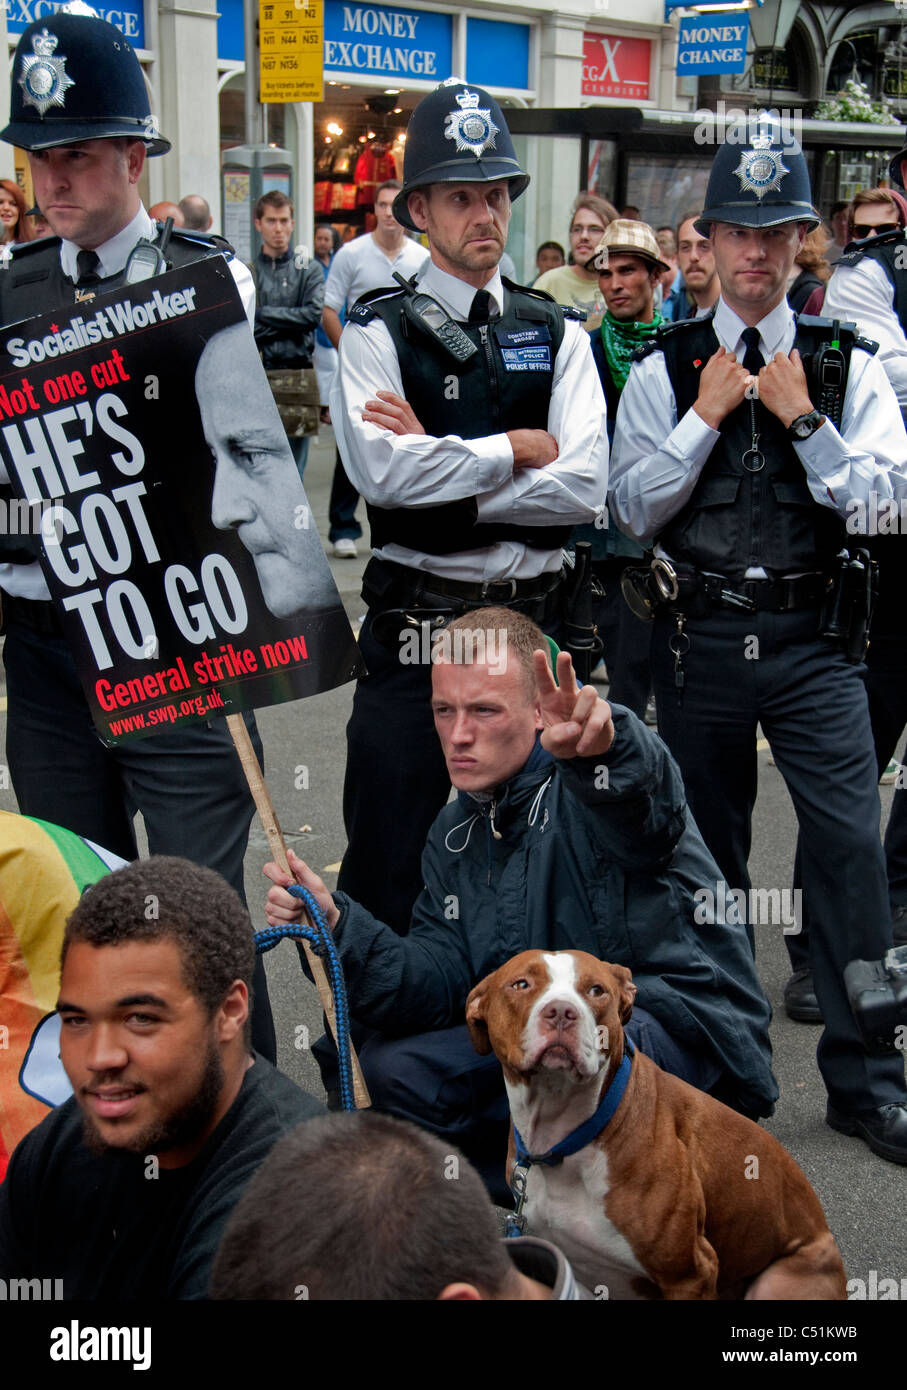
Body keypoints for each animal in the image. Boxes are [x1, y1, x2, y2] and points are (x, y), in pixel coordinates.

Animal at [466, 950, 850, 1295]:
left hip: (780, 1279)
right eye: (521, 984)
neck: (567, 1138)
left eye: (596, 990)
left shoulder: (691, 1273)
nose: (561, 1011)